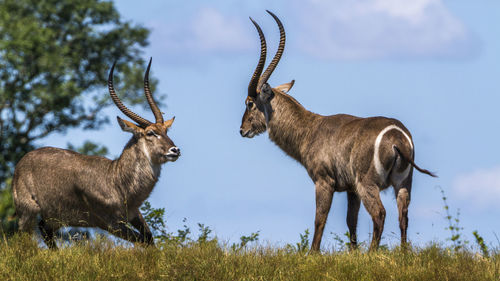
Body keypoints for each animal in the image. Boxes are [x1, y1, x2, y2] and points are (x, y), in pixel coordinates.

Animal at [10, 58, 180, 247]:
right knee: (23, 240)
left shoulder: (134, 213)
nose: (175, 150)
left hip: (54, 218)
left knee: (45, 231)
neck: (116, 179)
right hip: (27, 212)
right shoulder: (109, 223)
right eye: (150, 132)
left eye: (166, 131)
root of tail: (21, 162)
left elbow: (149, 239)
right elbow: (142, 240)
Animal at [240, 11, 436, 252]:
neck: (309, 129)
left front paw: (312, 254)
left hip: (367, 183)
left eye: (249, 103)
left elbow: (320, 218)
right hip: (403, 184)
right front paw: (353, 252)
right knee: (403, 216)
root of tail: (397, 136)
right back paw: (403, 252)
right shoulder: (351, 190)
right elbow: (350, 221)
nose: (242, 129)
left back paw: (372, 253)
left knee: (380, 214)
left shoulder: (324, 181)